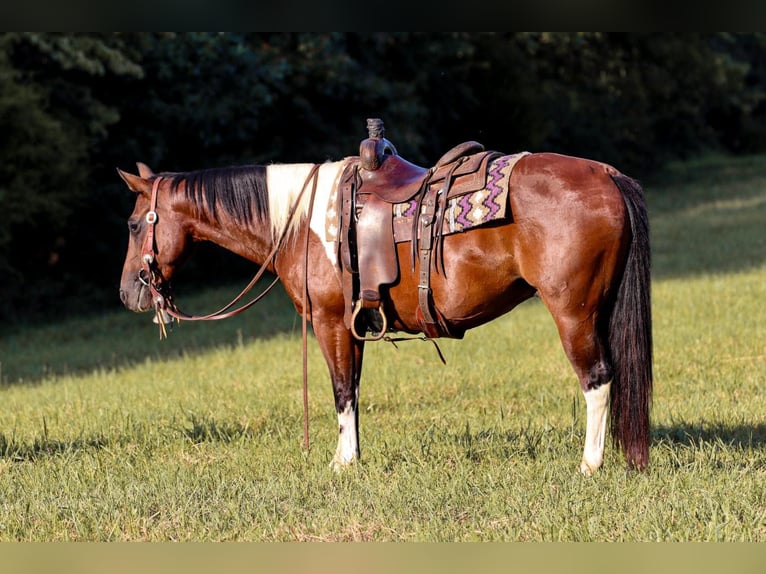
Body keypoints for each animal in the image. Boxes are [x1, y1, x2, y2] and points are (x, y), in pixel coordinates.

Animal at [118, 145, 656, 476]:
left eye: (132, 224)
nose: (128, 294)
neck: (303, 221)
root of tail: (607, 174)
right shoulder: (353, 326)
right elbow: (353, 390)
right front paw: (352, 455)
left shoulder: (331, 322)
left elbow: (341, 391)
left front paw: (342, 463)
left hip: (573, 313)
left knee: (597, 379)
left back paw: (589, 465)